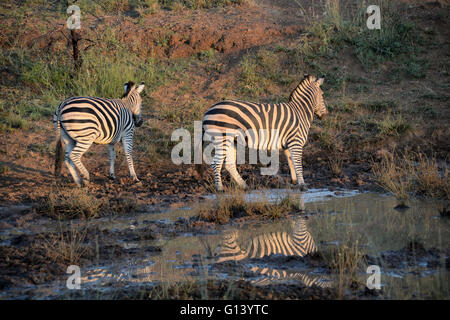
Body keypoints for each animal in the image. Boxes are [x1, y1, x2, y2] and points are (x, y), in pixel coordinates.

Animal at [195, 74, 328, 191]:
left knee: (229, 165)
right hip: (222, 138)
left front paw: (295, 182)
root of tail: (208, 111)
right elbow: (298, 164)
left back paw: (244, 186)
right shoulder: (296, 141)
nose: (325, 115)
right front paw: (302, 185)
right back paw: (220, 188)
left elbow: (291, 163)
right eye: (322, 94)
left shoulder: (288, 144)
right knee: (216, 163)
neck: (300, 112)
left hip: (232, 141)